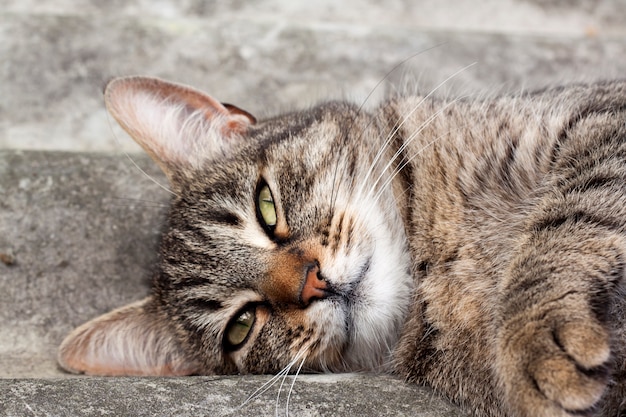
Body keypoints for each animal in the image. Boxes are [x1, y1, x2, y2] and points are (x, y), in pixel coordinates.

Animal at [58, 76, 624, 414]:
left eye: (266, 206)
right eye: (241, 326)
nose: (312, 284)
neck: (436, 263)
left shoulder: (600, 118)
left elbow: (569, 217)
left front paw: (536, 331)